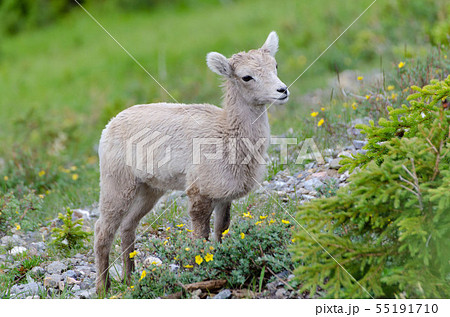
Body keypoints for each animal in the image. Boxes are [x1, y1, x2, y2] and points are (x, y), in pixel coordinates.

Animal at [96, 31, 290, 292]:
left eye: (275, 66)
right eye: (246, 77)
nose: (282, 90)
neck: (227, 135)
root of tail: (110, 124)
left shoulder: (223, 196)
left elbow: (221, 230)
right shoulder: (199, 194)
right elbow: (201, 238)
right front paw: (203, 275)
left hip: (149, 189)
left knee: (128, 226)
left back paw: (130, 279)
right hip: (116, 184)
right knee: (103, 231)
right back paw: (103, 289)